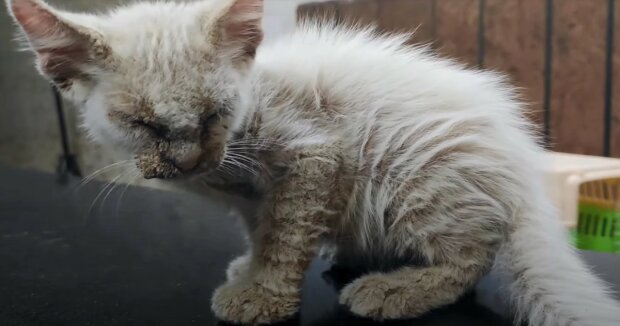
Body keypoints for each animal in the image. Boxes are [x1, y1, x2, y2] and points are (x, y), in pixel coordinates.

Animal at [6, 0, 620, 326]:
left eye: (214, 113)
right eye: (142, 123)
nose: (188, 159)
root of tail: (521, 164)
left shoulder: (314, 154)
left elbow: (285, 232)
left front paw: (263, 296)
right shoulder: (253, 195)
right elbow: (261, 228)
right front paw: (249, 269)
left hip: (415, 181)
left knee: (471, 257)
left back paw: (394, 289)